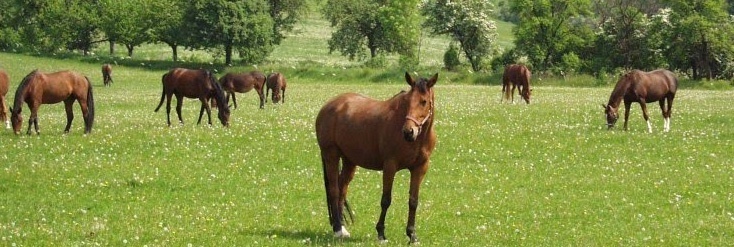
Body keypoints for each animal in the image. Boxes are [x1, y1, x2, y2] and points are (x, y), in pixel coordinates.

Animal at [314, 71, 440, 243]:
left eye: (424, 101)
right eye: (407, 101)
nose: (408, 132)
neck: (418, 139)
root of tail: (328, 106)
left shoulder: (420, 168)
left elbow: (413, 201)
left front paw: (412, 235)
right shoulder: (390, 166)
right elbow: (386, 200)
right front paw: (381, 233)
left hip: (349, 161)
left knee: (342, 189)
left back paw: (342, 228)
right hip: (331, 155)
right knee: (334, 190)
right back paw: (338, 229)